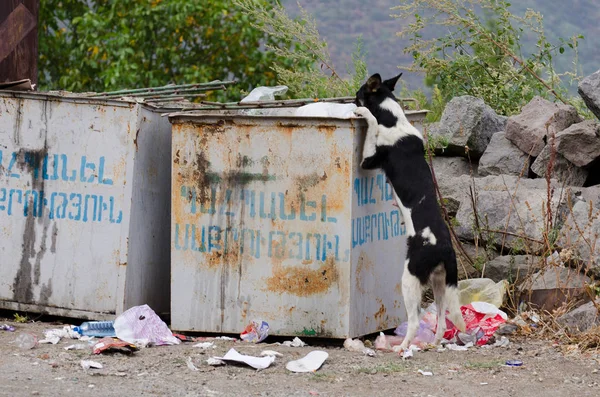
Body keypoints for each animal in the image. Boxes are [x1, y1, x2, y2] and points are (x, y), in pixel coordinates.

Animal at [354, 72, 466, 348]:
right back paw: (433, 343)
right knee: (442, 318)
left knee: (414, 321)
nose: (351, 99)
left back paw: (403, 347)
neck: (394, 120)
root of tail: (445, 247)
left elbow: (372, 122)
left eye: (358, 93)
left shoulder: (367, 160)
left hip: (409, 279)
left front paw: (364, 113)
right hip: (439, 283)